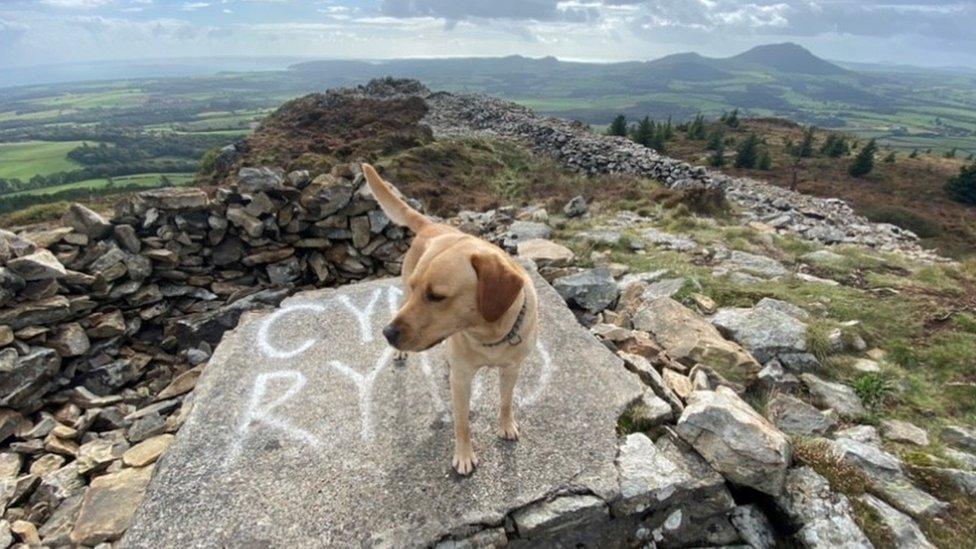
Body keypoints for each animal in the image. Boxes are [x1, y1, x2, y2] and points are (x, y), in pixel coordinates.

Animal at [360, 163, 536, 476]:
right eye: (423, 290)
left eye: (436, 296)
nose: (387, 333)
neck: (490, 333)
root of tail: (431, 225)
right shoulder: (462, 379)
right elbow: (461, 422)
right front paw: (464, 455)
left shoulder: (512, 369)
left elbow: (505, 401)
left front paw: (506, 425)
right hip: (403, 293)